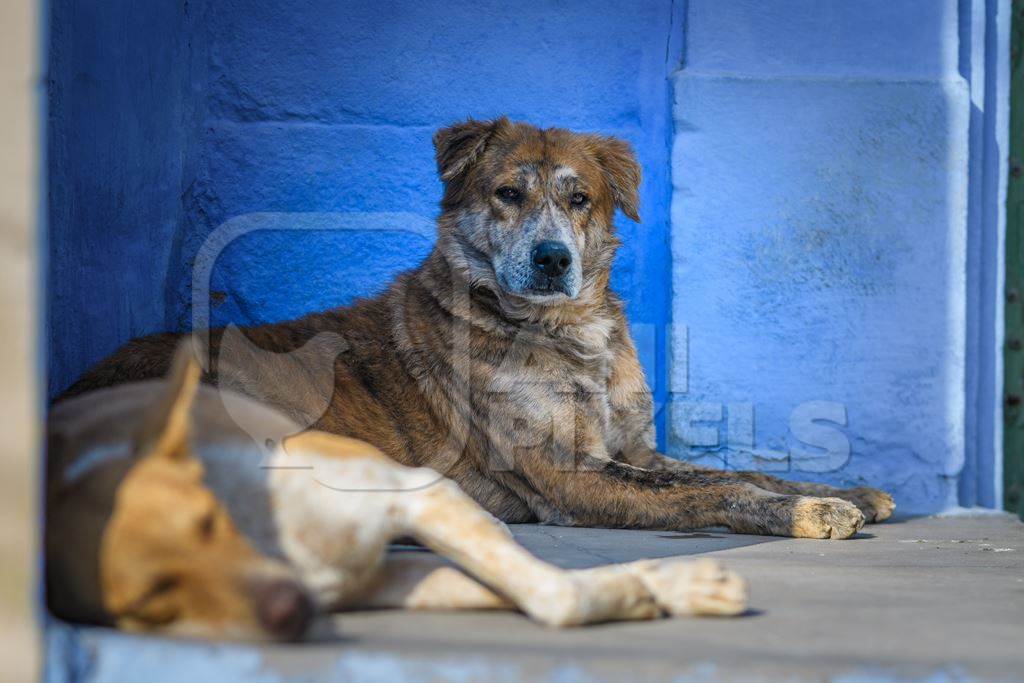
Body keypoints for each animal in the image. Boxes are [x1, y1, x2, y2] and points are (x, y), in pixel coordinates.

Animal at [61, 118, 897, 544]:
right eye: (506, 194)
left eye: (580, 199)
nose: (553, 256)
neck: (569, 331)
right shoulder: (569, 473)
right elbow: (708, 492)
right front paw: (807, 512)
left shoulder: (630, 449)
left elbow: (729, 470)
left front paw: (841, 488)